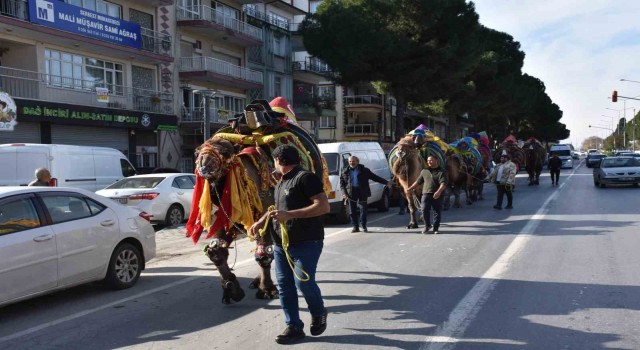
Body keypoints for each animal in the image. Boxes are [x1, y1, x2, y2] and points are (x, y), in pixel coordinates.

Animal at [185, 98, 330, 304]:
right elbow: (217, 251)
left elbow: (264, 253)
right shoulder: (225, 217)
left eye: (226, 151)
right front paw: (231, 290)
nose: (205, 165)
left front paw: (267, 290)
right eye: (197, 152)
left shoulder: (265, 215)